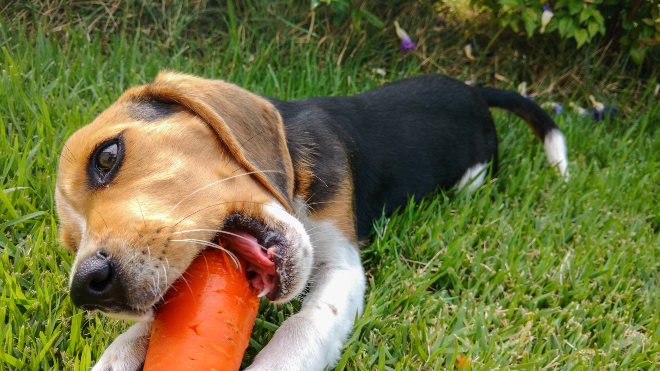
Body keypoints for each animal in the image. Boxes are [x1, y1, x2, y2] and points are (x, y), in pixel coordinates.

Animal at [56, 71, 568, 370]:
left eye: (107, 156)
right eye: (71, 243)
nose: (88, 287)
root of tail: (474, 91)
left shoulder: (341, 263)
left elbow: (300, 328)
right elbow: (143, 331)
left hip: (474, 176)